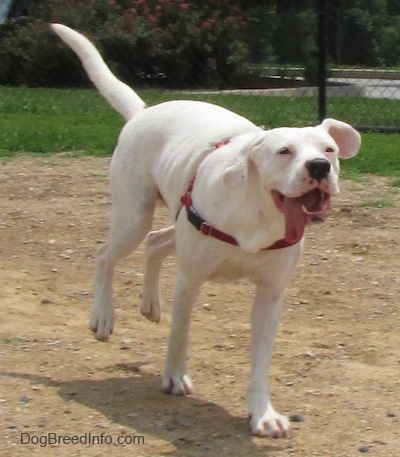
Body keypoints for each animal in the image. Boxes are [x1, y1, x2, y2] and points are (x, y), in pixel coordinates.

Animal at [51, 23, 360, 436]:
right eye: (284, 152)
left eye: (329, 150)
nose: (319, 168)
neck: (257, 214)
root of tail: (143, 113)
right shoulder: (190, 279)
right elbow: (180, 334)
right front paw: (174, 377)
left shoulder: (270, 295)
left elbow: (260, 363)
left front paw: (263, 413)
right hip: (134, 216)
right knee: (106, 255)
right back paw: (103, 316)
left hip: (176, 222)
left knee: (156, 243)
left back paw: (150, 303)